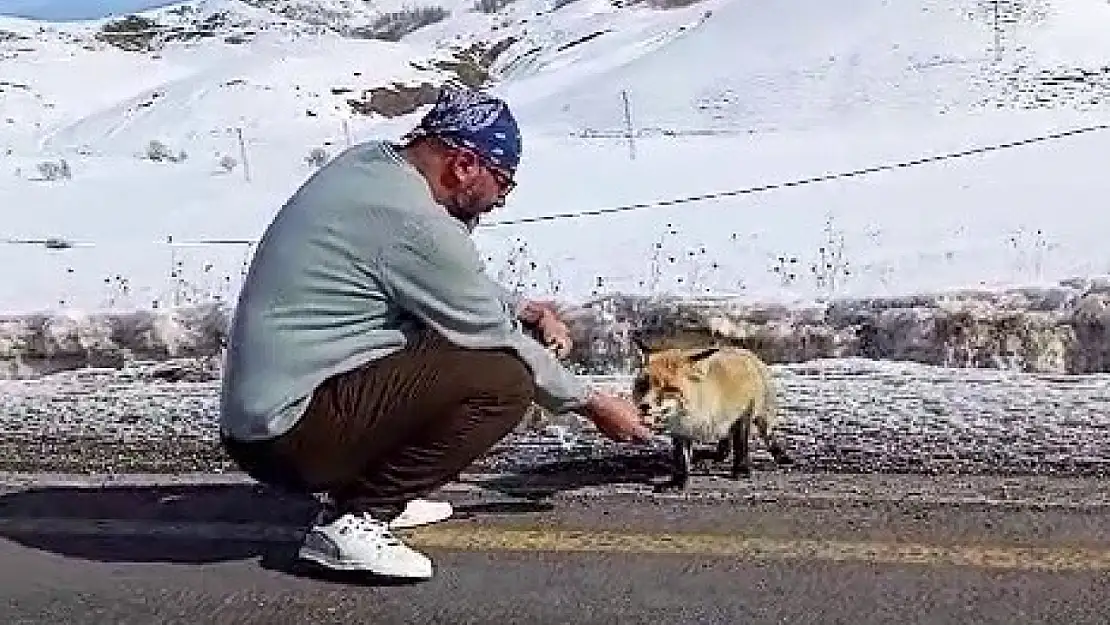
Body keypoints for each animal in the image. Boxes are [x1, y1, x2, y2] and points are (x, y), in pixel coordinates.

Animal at [634, 341, 790, 495]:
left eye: (669, 389)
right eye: (643, 385)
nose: (644, 406)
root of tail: (741, 350)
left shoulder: (744, 412)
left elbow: (740, 446)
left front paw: (741, 469)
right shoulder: (681, 431)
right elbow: (681, 460)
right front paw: (678, 481)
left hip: (763, 415)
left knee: (768, 436)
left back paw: (782, 456)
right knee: (726, 442)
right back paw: (718, 455)